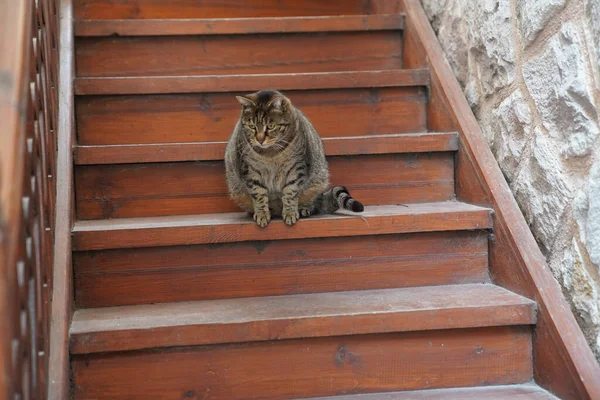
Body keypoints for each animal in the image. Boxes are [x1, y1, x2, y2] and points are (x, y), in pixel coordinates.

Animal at [225, 90, 364, 228]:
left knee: (313, 203)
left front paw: (290, 212)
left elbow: (290, 192)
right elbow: (258, 193)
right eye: (252, 126)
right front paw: (262, 214)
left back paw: (304, 208)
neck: (270, 154)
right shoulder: (249, 170)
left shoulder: (296, 168)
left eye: (271, 126)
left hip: (318, 180)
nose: (259, 140)